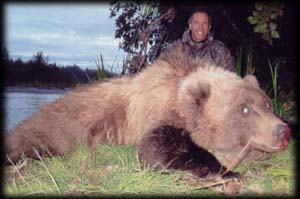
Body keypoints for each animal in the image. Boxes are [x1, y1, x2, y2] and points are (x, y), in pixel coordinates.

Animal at [4, 42, 290, 190]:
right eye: (244, 108)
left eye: (267, 104)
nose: (282, 131)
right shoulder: (150, 115)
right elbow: (157, 148)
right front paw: (228, 173)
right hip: (48, 131)